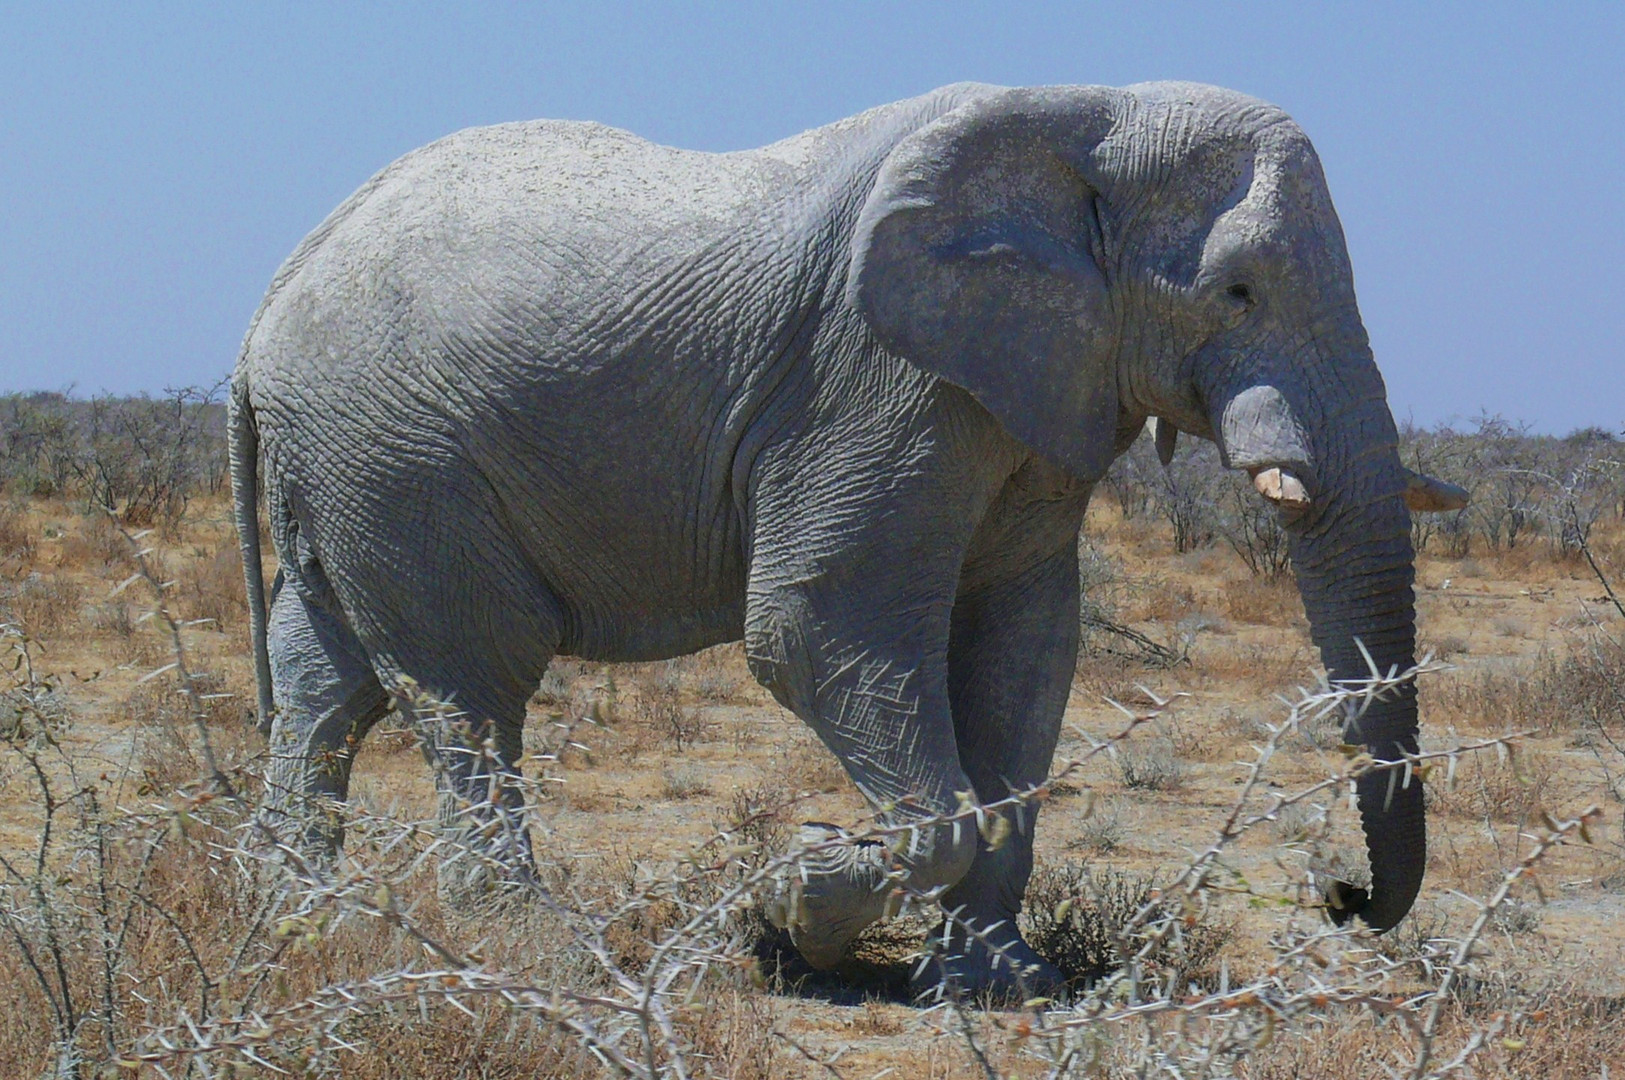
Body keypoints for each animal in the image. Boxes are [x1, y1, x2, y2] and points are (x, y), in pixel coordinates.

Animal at [232, 79, 1475, 1000]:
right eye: (1235, 290)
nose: (1340, 898)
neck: (1085, 117)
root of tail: (267, 307)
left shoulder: (1031, 387)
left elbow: (1025, 650)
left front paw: (999, 987)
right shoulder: (874, 380)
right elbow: (816, 633)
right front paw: (790, 905)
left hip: (347, 465)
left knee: (326, 682)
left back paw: (294, 920)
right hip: (397, 455)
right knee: (468, 684)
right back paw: (535, 953)